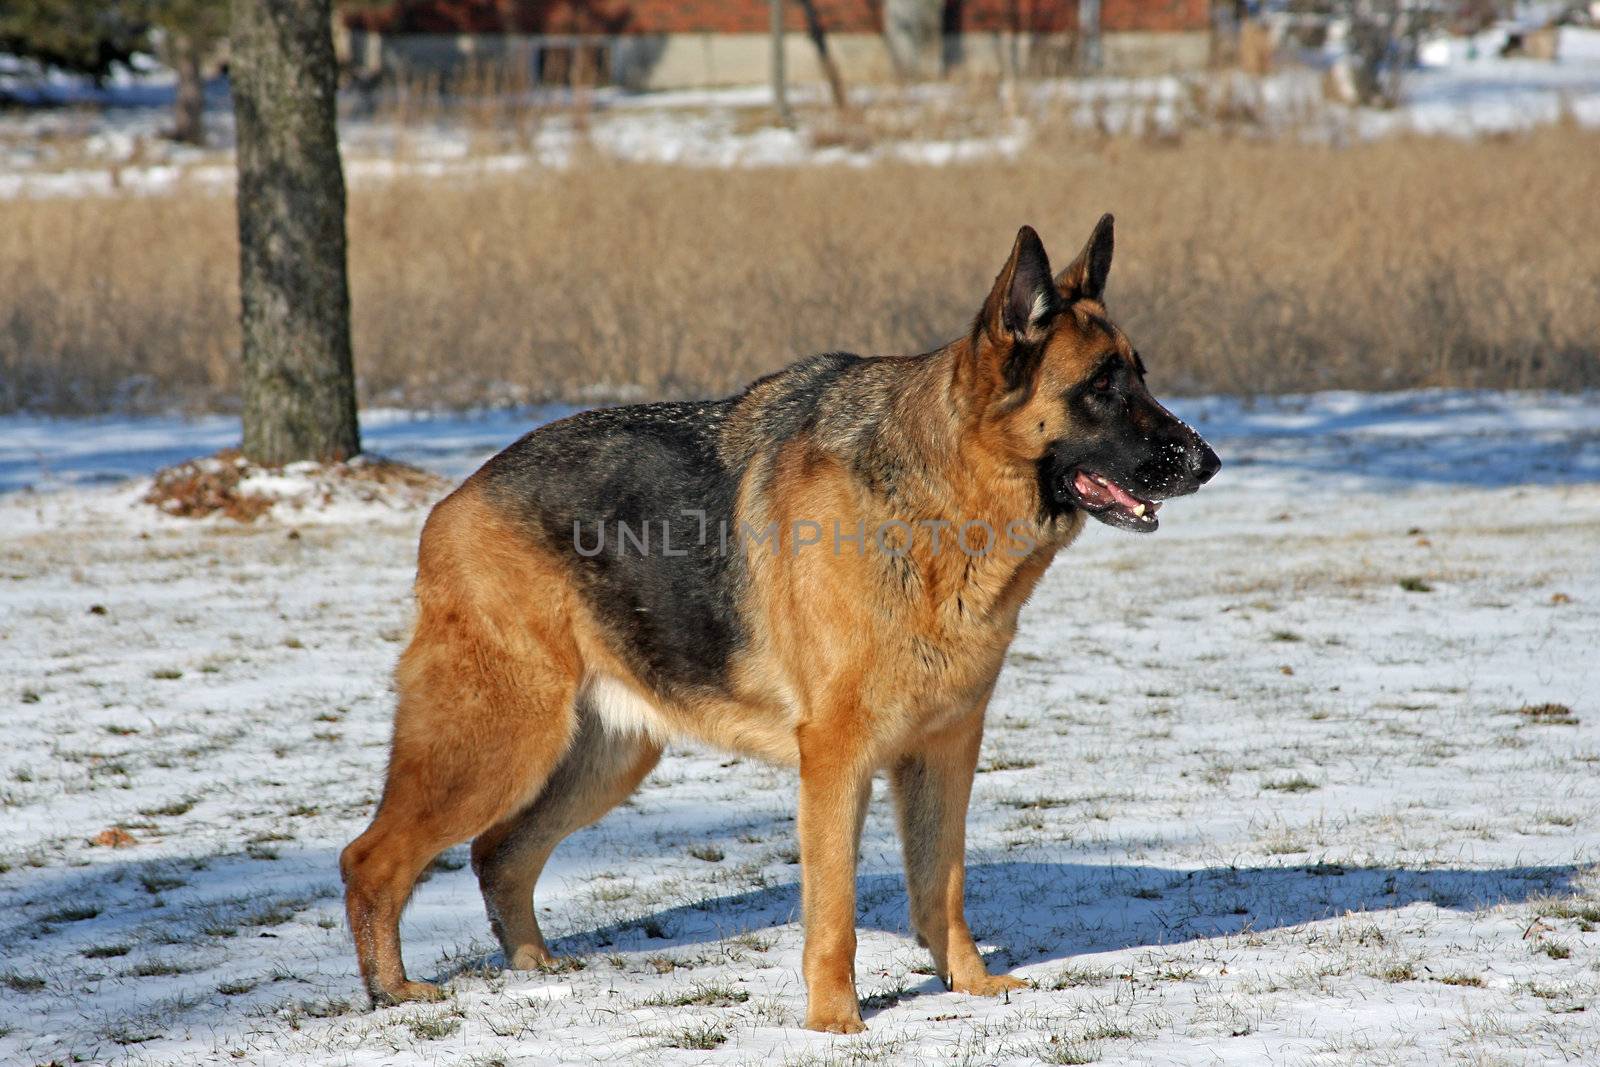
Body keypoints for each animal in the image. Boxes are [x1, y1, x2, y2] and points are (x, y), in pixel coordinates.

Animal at [344, 214, 1216, 1023]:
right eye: (1100, 387)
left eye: (1140, 377)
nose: (1207, 463)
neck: (944, 492)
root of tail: (451, 505)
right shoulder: (835, 758)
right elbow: (834, 909)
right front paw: (835, 1021)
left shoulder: (944, 750)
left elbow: (944, 883)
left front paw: (967, 984)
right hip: (497, 742)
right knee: (372, 857)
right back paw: (393, 991)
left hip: (603, 755)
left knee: (499, 852)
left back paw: (533, 968)